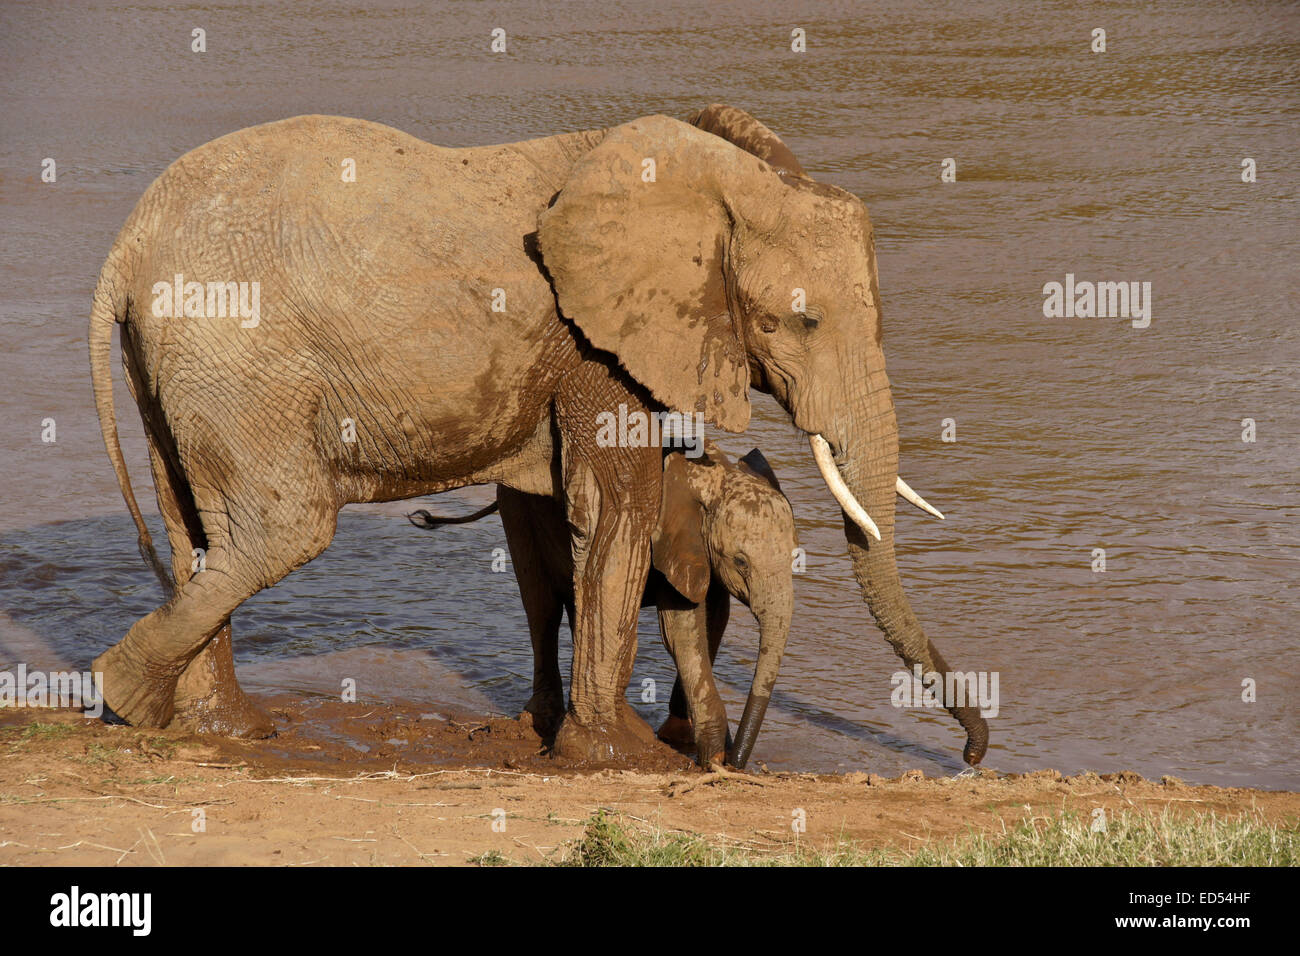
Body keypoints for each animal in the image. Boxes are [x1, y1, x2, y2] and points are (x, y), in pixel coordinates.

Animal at [410, 447, 795, 770]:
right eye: (741, 562)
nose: (736, 763)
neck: (712, 473)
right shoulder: (666, 539)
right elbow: (680, 629)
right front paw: (712, 756)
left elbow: (714, 621)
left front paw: (685, 739)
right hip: (517, 509)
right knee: (542, 609)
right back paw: (544, 720)